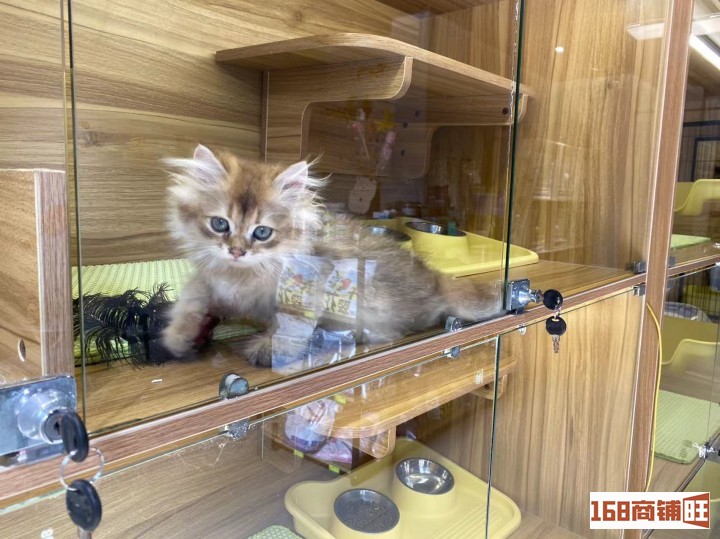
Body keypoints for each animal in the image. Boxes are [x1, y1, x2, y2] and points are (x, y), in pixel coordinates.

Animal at [160, 144, 502, 367]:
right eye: (220, 224)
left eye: (262, 232)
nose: (236, 251)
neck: (242, 273)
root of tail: (435, 279)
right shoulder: (208, 276)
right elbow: (190, 299)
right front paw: (177, 336)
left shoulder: (307, 287)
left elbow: (291, 324)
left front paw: (269, 349)